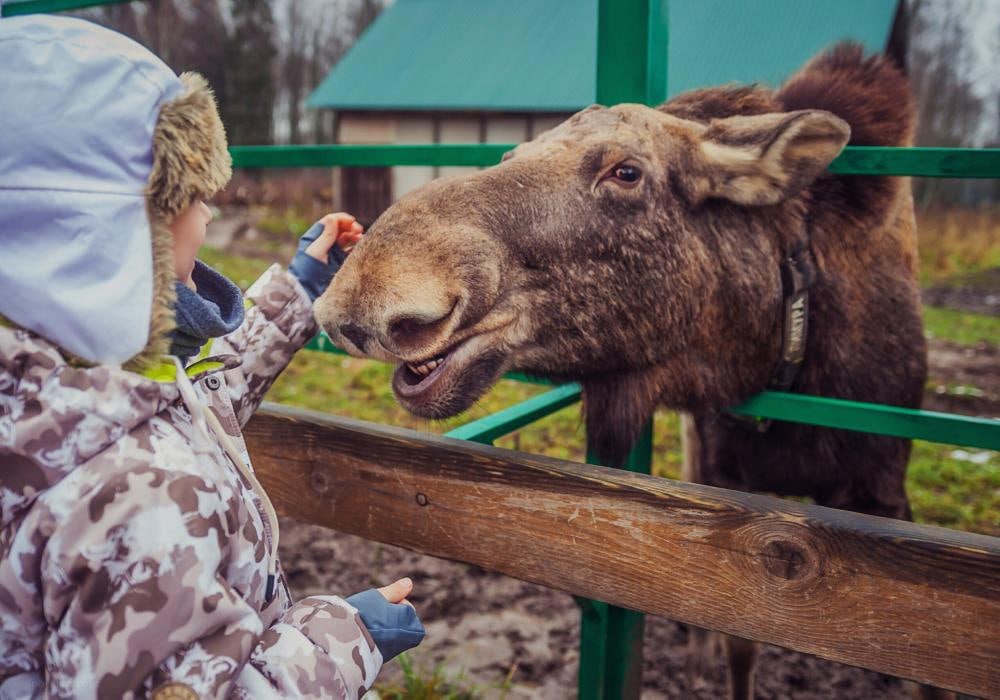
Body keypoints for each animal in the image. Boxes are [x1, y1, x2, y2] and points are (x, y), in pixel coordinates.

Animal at [316, 46, 932, 696]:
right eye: (511, 154)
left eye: (627, 172)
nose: (362, 290)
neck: (788, 351)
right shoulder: (729, 477)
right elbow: (739, 642)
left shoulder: (879, 492)